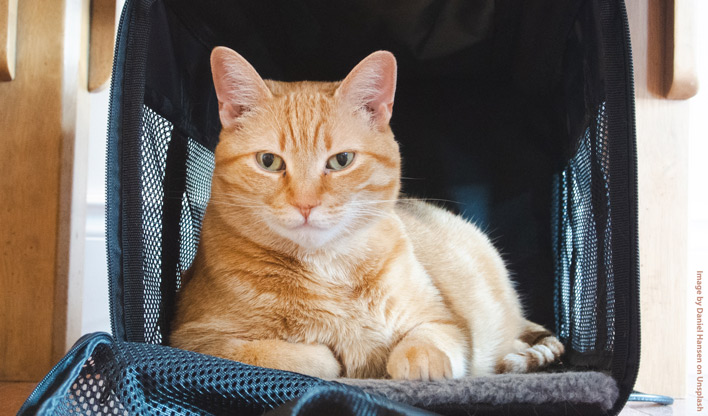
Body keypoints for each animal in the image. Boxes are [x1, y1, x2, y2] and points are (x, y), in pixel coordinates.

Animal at [169, 46, 560, 380]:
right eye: (269, 161)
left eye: (341, 160)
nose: (306, 204)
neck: (327, 268)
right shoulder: (193, 340)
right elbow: (298, 357)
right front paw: (327, 358)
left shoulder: (446, 322)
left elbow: (426, 343)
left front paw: (418, 366)